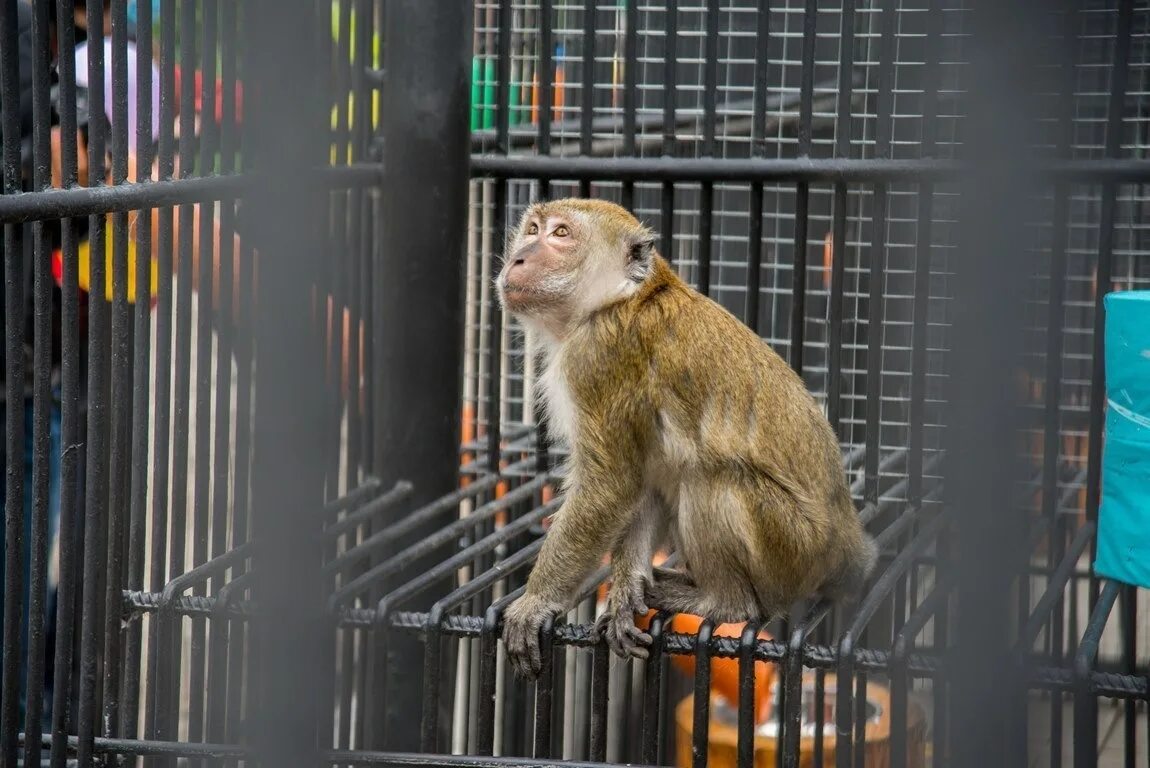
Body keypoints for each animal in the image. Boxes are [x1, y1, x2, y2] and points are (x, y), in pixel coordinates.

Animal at [496, 196, 878, 676]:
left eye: (561, 234)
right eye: (532, 229)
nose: (519, 258)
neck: (622, 298)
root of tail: (846, 545)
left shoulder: (597, 359)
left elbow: (609, 488)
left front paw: (534, 602)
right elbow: (639, 484)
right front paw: (626, 589)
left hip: (790, 552)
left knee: (711, 479)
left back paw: (726, 601)